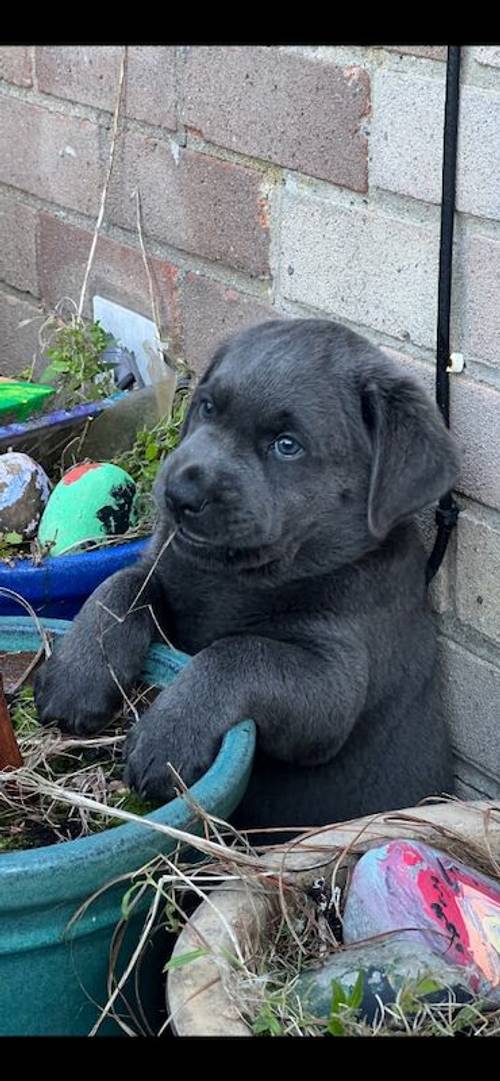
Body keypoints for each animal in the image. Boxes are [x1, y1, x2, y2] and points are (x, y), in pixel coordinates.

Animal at [32, 317, 462, 825]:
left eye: (287, 446)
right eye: (207, 407)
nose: (180, 494)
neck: (237, 579)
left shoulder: (335, 680)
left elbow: (235, 653)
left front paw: (167, 738)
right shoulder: (164, 569)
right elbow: (118, 587)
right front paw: (74, 678)